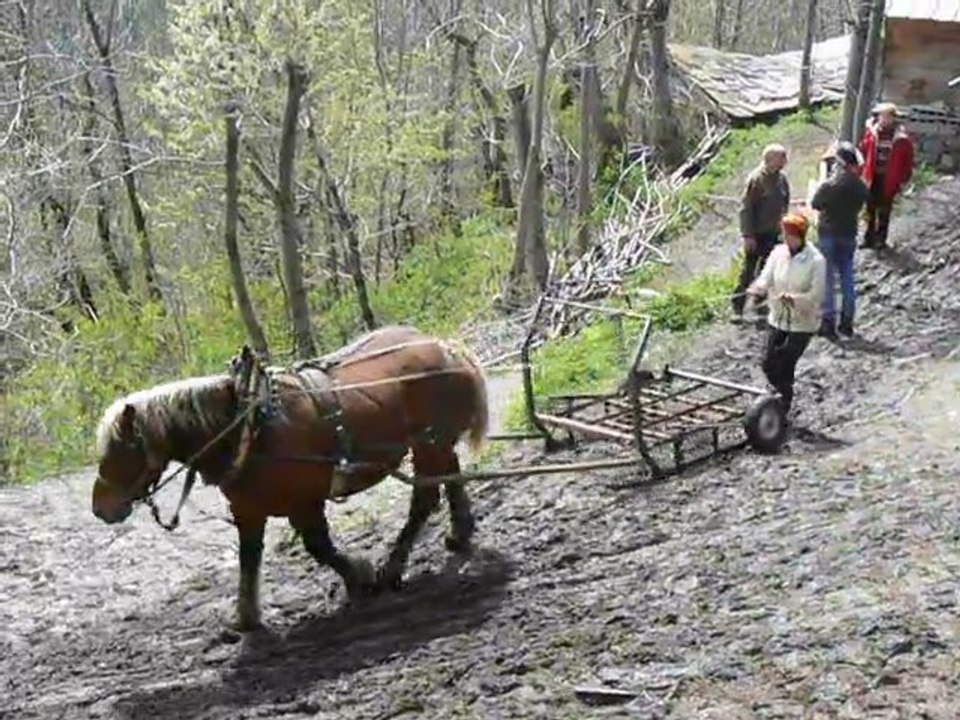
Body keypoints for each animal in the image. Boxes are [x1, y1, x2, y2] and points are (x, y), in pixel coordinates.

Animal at [91, 325, 489, 631]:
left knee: (424, 500)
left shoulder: (305, 500)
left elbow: (319, 547)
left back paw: (393, 568)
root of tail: (443, 345)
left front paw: (360, 576)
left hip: (429, 444)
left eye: (122, 451)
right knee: (451, 477)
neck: (249, 425)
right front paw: (246, 617)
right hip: (437, 445)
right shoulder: (249, 510)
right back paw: (458, 533)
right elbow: (249, 557)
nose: (100, 508)